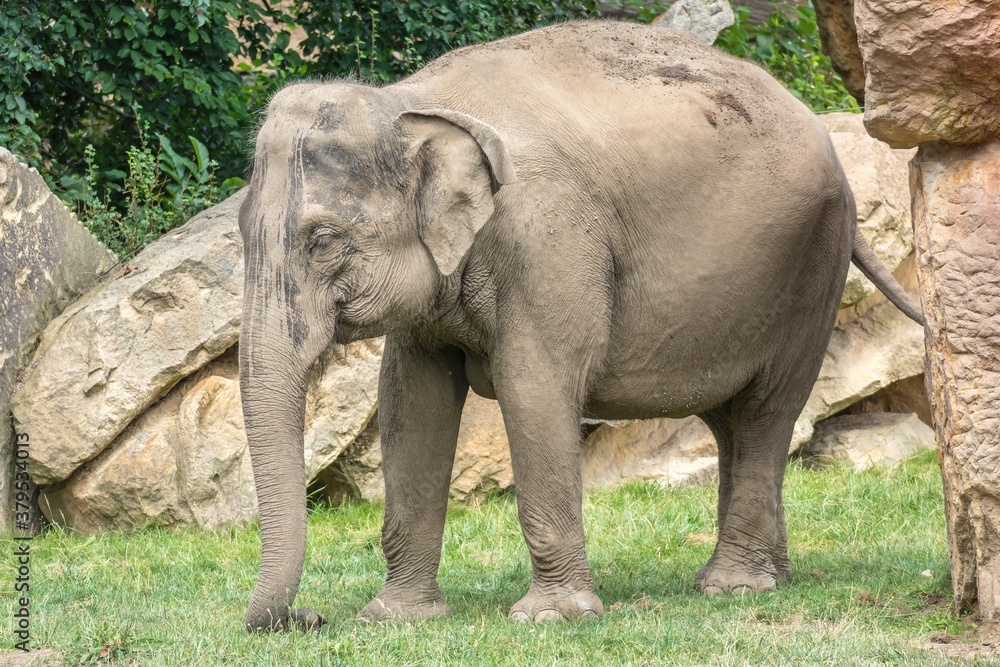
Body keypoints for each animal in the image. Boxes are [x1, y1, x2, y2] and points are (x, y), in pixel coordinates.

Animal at [237, 20, 923, 630]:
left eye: (323, 240)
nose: (307, 617)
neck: (412, 101)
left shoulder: (550, 242)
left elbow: (532, 387)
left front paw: (551, 618)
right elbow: (412, 398)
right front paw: (394, 618)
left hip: (809, 271)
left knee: (765, 411)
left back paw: (733, 588)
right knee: (732, 423)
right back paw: (764, 578)